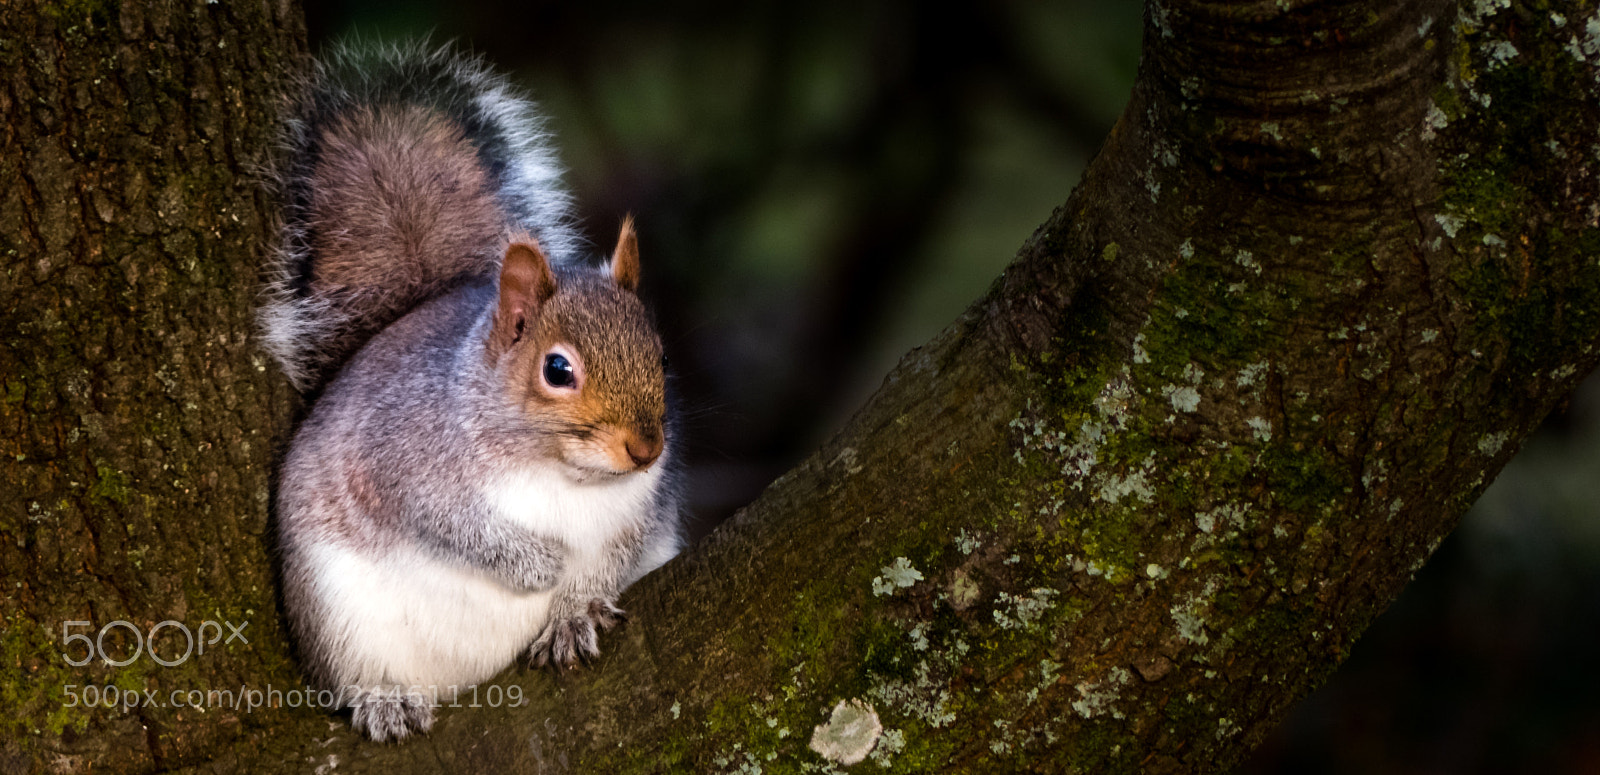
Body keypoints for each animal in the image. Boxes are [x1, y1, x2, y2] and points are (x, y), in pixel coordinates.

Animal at [259, 41, 685, 743]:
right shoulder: (398, 462)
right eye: (558, 370)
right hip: (335, 615)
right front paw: (537, 565)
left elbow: (611, 558)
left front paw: (574, 609)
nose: (646, 449)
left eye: (661, 353)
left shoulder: (639, 511)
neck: (558, 470)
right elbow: (452, 526)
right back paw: (384, 699)